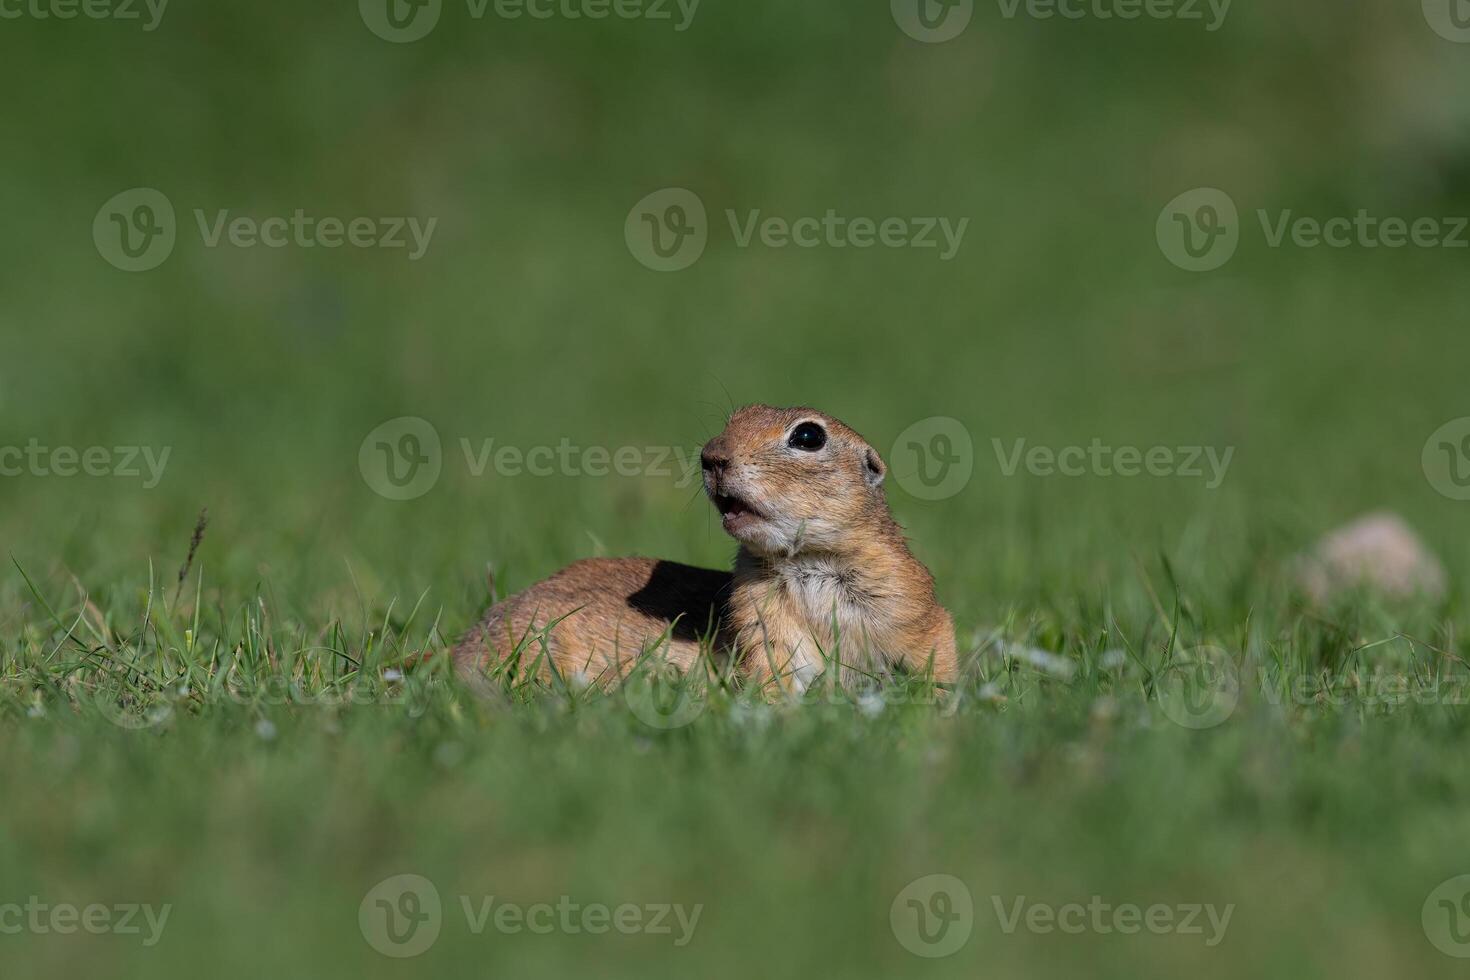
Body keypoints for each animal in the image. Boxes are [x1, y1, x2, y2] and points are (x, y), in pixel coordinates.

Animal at [452, 405, 958, 690]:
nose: (711, 455)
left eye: (809, 435)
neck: (806, 561)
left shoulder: (904, 598)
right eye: (734, 418)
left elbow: (935, 650)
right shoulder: (761, 622)